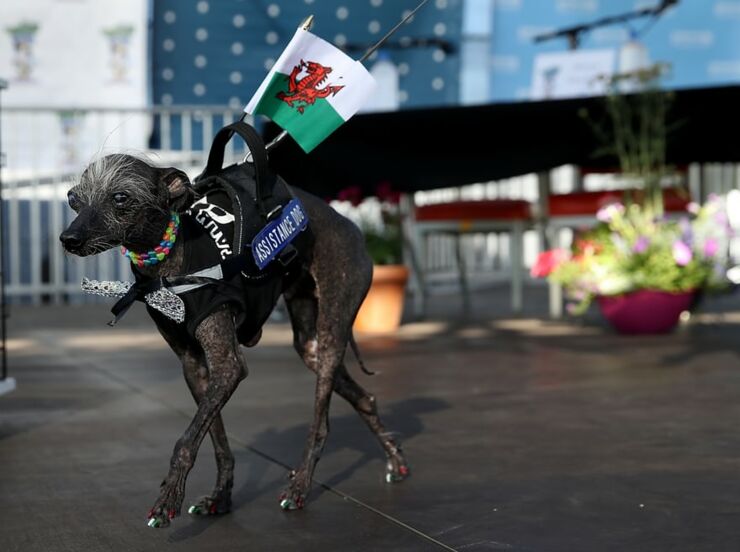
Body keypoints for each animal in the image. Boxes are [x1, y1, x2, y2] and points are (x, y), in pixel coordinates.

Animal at [60, 153, 408, 528]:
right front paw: (221, 496)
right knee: (365, 397)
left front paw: (169, 498)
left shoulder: (228, 366)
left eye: (121, 197)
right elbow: (217, 440)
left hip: (332, 328)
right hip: (310, 344)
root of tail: (350, 225)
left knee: (321, 424)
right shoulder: (195, 368)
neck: (169, 265)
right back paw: (394, 458)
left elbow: (186, 441)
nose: (68, 238)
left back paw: (300, 484)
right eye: (73, 198)